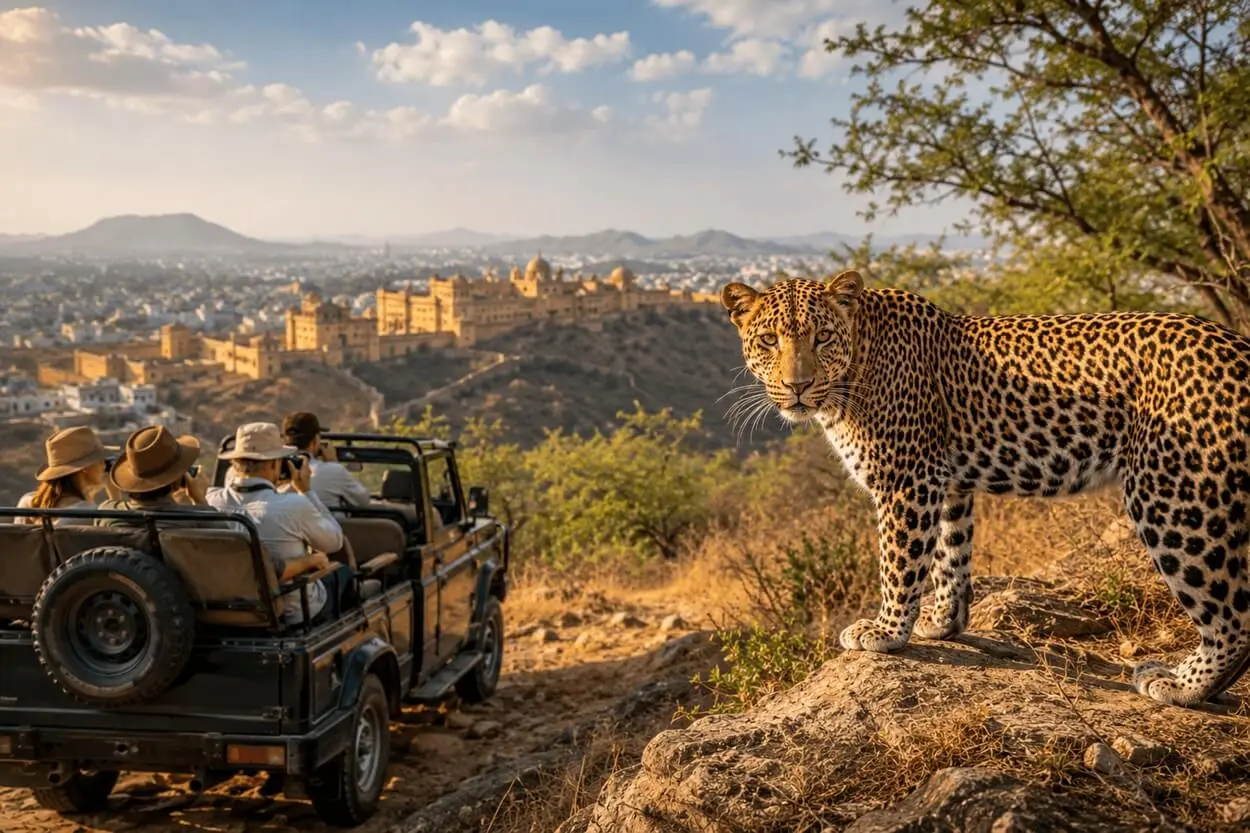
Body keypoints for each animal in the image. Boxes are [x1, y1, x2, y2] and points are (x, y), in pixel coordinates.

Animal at [721, 270, 1250, 708]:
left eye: (823, 337)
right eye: (768, 340)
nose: (798, 385)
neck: (858, 361)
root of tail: (1238, 347)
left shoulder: (905, 480)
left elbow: (899, 562)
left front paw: (887, 631)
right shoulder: (946, 482)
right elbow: (949, 556)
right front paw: (942, 622)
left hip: (1172, 493)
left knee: (1232, 617)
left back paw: (1181, 686)